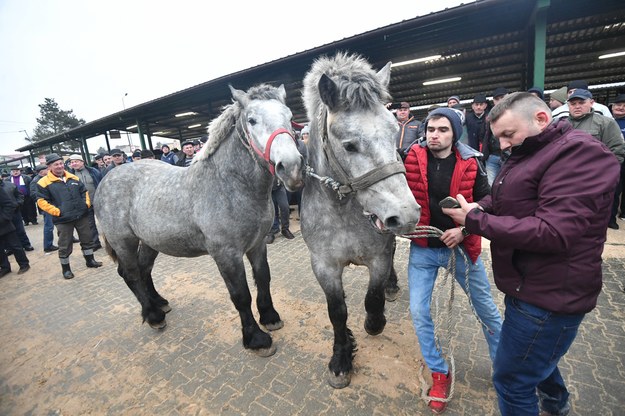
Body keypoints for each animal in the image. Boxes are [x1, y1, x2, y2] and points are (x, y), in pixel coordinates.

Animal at [93, 83, 304, 358]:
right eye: (252, 120)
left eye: (290, 117)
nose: (291, 168)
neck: (229, 185)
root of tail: (108, 178)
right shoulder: (226, 254)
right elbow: (241, 295)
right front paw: (256, 339)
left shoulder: (257, 245)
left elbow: (263, 279)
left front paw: (270, 317)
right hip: (124, 241)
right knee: (130, 274)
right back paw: (153, 316)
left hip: (149, 241)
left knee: (143, 269)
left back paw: (159, 303)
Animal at [302, 52, 422, 390]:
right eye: (350, 145)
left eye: (394, 130)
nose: (406, 215)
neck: (342, 211)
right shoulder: (324, 265)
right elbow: (337, 311)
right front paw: (341, 359)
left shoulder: (378, 256)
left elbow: (373, 295)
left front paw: (373, 323)